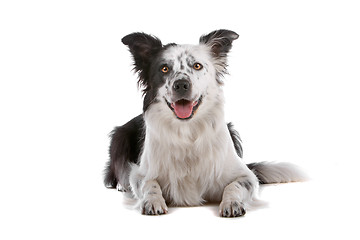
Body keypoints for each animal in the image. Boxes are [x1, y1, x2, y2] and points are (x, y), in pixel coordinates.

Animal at [104, 29, 306, 217]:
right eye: (164, 69)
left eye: (197, 66)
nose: (181, 84)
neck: (187, 132)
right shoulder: (141, 172)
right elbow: (148, 183)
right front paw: (152, 201)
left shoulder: (245, 175)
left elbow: (235, 186)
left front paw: (231, 203)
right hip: (119, 135)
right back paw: (122, 185)